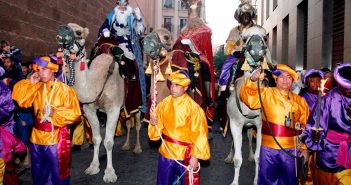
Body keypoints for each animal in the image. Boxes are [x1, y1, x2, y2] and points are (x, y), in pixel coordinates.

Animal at [56, 22, 142, 182]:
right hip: (124, 107)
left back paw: (137, 148)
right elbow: (97, 139)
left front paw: (109, 173)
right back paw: (126, 145)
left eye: (78, 32)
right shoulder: (89, 109)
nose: (61, 30)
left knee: (138, 123)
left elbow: (108, 141)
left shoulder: (113, 108)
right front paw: (93, 167)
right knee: (128, 121)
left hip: (138, 101)